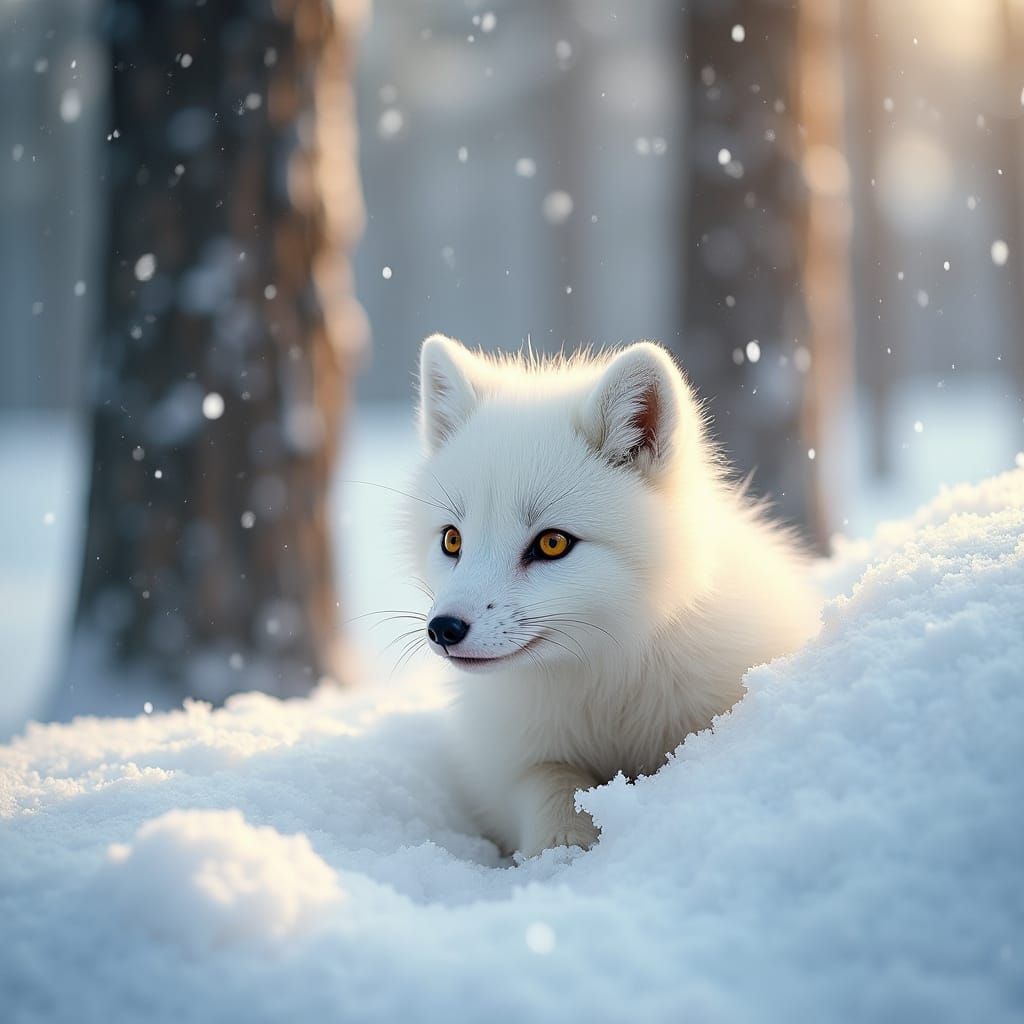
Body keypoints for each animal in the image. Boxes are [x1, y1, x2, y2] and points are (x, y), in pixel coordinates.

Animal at [405, 335, 821, 858]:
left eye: (552, 543)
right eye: (452, 540)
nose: (443, 629)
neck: (607, 687)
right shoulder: (515, 763)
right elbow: (550, 788)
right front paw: (561, 850)